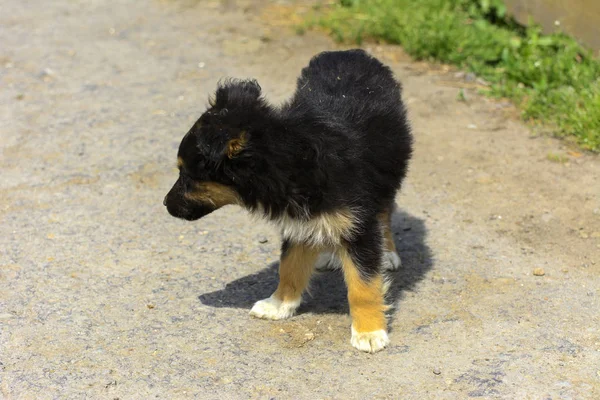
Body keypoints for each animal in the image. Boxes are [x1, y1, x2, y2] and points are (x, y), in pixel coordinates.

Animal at [164, 50, 412, 354]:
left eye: (187, 176)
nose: (165, 204)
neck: (291, 161)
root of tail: (351, 52)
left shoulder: (358, 221)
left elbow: (362, 286)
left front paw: (369, 332)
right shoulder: (299, 219)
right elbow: (289, 265)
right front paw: (279, 304)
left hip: (390, 169)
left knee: (385, 211)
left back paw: (387, 252)